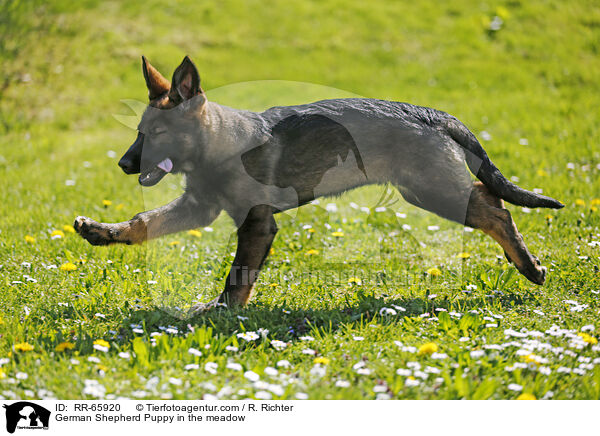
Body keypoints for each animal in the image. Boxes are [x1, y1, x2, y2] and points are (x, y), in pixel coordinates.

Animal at [72, 56, 564, 312]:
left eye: (157, 133)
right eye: (141, 131)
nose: (124, 163)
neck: (219, 143)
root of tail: (434, 114)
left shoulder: (256, 223)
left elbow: (238, 274)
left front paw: (222, 312)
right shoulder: (199, 206)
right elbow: (144, 221)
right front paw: (103, 232)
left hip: (431, 190)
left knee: (497, 209)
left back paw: (528, 265)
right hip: (430, 187)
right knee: (489, 198)